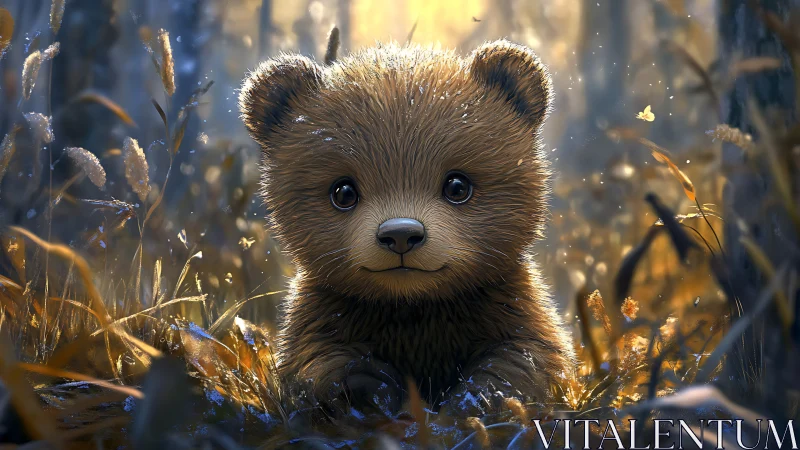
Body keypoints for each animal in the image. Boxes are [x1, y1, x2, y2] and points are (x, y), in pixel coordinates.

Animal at [239, 39, 575, 417]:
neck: (415, 311)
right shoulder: (320, 318)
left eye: (457, 185)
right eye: (343, 191)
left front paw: (473, 400)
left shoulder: (512, 307)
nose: (401, 234)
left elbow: (529, 359)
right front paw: (373, 389)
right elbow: (317, 364)